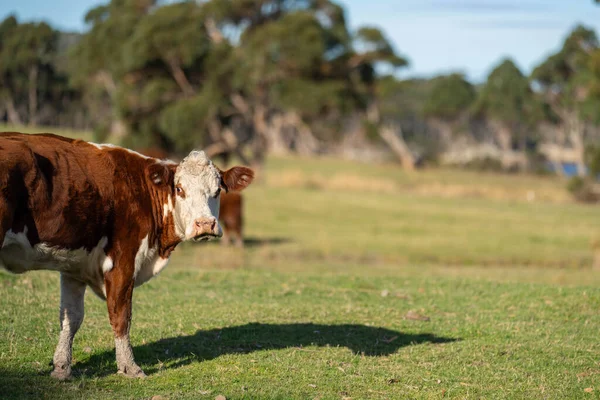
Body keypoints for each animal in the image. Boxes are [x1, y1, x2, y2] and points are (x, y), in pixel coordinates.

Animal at [0, 133, 253, 380]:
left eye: (217, 191)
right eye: (179, 189)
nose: (205, 224)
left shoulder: (74, 265)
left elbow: (70, 318)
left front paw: (62, 368)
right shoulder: (123, 261)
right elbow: (121, 316)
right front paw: (129, 367)